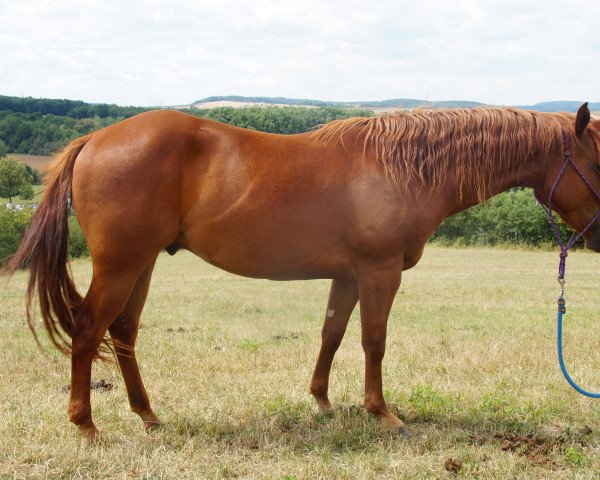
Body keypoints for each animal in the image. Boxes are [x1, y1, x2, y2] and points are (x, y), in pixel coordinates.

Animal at [5, 103, 600, 440]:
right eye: (595, 162)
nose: (596, 236)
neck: (402, 168)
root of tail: (95, 140)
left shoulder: (348, 275)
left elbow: (332, 334)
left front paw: (322, 401)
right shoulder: (380, 271)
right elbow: (374, 340)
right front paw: (382, 414)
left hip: (142, 264)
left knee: (123, 333)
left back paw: (148, 416)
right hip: (120, 265)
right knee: (89, 332)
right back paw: (86, 425)